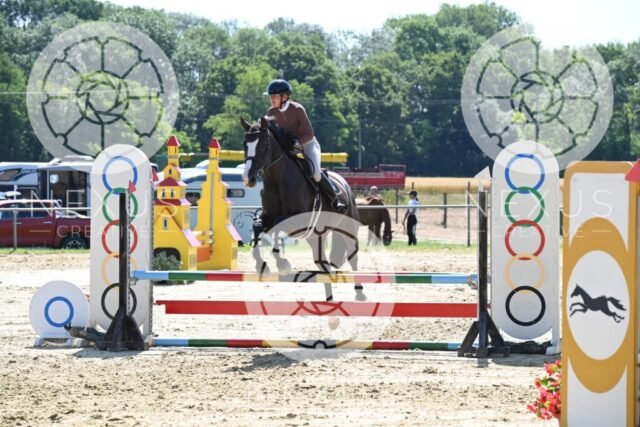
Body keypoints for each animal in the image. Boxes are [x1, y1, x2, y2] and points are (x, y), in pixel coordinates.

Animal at [240, 116, 365, 301]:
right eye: (244, 144)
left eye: (262, 145)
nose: (248, 178)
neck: (278, 181)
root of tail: (343, 182)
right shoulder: (268, 216)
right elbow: (258, 228)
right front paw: (262, 265)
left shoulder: (297, 220)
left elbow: (277, 227)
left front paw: (282, 264)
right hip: (315, 238)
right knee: (323, 266)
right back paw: (329, 300)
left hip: (348, 228)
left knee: (353, 257)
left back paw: (360, 293)